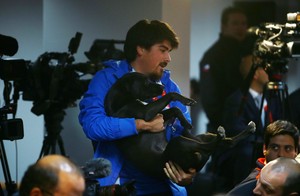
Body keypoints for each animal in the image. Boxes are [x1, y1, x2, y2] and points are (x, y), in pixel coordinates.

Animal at [105, 72, 255, 178]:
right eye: (146, 83)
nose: (162, 86)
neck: (121, 99)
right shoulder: (146, 113)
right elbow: (172, 97)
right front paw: (187, 101)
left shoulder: (158, 116)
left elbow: (174, 109)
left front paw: (185, 122)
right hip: (178, 142)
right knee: (211, 145)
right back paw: (222, 134)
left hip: (202, 136)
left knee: (225, 143)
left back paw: (245, 129)